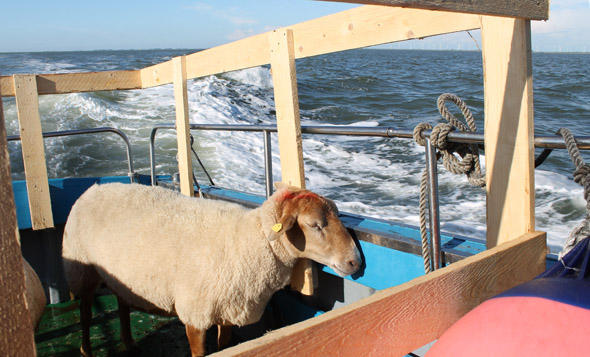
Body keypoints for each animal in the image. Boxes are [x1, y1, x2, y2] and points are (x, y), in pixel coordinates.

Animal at [62, 182, 364, 354]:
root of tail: (93, 187)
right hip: (81, 270)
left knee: (123, 304)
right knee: (86, 314)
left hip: (123, 276)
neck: (250, 239)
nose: (355, 261)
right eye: (314, 225)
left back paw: (129, 344)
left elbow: (223, 347)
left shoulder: (228, 308)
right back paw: (86, 350)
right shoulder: (195, 313)